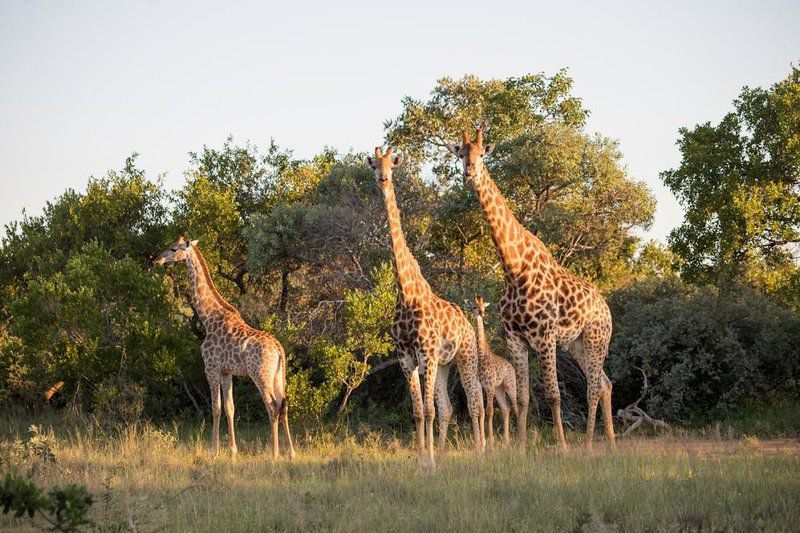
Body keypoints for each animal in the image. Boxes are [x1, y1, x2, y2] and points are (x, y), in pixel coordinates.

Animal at [155, 235, 296, 460]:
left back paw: (274, 454)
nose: (157, 260)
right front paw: (232, 452)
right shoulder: (226, 371)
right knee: (284, 404)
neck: (208, 319)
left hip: (260, 375)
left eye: (174, 248)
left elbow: (216, 407)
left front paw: (214, 451)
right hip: (278, 375)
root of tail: (278, 348)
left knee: (273, 405)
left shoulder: (211, 368)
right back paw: (291, 453)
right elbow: (230, 408)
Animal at [366, 147, 484, 470]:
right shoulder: (407, 359)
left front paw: (429, 464)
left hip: (465, 356)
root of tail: (467, 322)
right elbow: (420, 412)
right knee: (448, 408)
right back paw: (443, 456)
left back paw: (482, 451)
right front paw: (423, 462)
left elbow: (429, 411)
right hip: (444, 365)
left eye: (391, 166)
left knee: (475, 402)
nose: (383, 179)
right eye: (374, 165)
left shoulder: (426, 354)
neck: (406, 294)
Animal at [462, 296, 520, 448]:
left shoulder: (489, 386)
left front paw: (491, 442)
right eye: (474, 307)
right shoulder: (483, 386)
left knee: (516, 406)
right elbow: (484, 411)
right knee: (506, 408)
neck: (482, 356)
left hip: (509, 385)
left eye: (484, 307)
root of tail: (511, 366)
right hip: (500, 388)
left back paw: (519, 436)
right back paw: (506, 441)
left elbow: (490, 411)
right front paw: (485, 442)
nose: (481, 313)